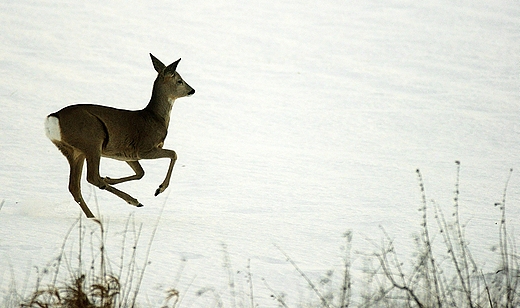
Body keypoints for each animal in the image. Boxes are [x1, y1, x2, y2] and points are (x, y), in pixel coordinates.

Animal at [43, 54, 195, 219]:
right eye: (179, 80)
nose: (192, 90)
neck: (155, 118)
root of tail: (53, 117)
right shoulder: (144, 149)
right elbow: (173, 154)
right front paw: (159, 189)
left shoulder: (127, 154)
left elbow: (140, 173)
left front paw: (109, 179)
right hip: (93, 141)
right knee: (92, 177)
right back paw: (133, 201)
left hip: (74, 151)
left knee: (74, 187)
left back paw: (93, 217)